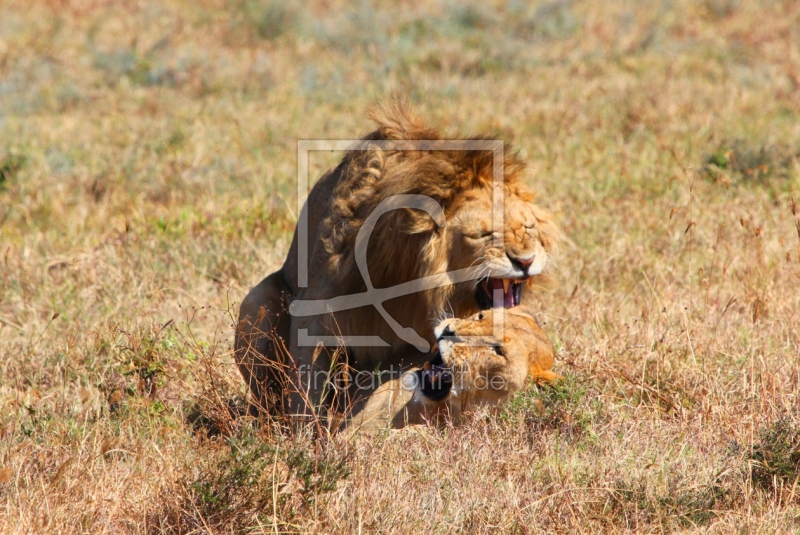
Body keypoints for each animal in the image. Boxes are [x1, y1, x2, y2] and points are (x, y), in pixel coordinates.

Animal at [236, 100, 556, 418]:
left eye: (528, 227)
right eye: (483, 235)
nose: (526, 261)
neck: (413, 279)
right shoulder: (315, 311)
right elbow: (306, 392)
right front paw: (306, 431)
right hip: (259, 299)